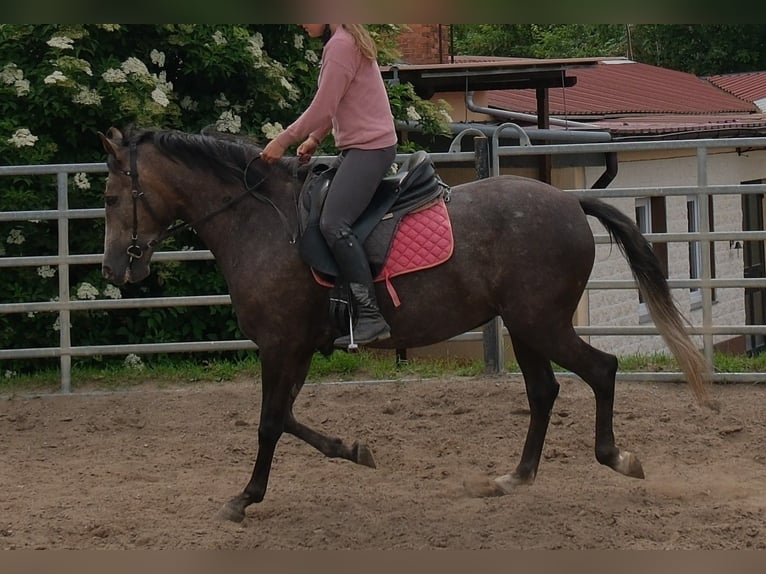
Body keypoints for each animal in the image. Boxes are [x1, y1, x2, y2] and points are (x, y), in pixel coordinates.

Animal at [98, 126, 713, 522]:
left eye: (108, 197)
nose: (113, 269)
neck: (263, 224)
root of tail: (569, 202)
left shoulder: (279, 345)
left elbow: (270, 423)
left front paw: (245, 497)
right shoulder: (296, 348)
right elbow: (289, 417)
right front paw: (353, 450)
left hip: (541, 323)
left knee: (602, 370)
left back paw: (616, 457)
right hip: (524, 327)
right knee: (544, 391)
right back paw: (515, 477)